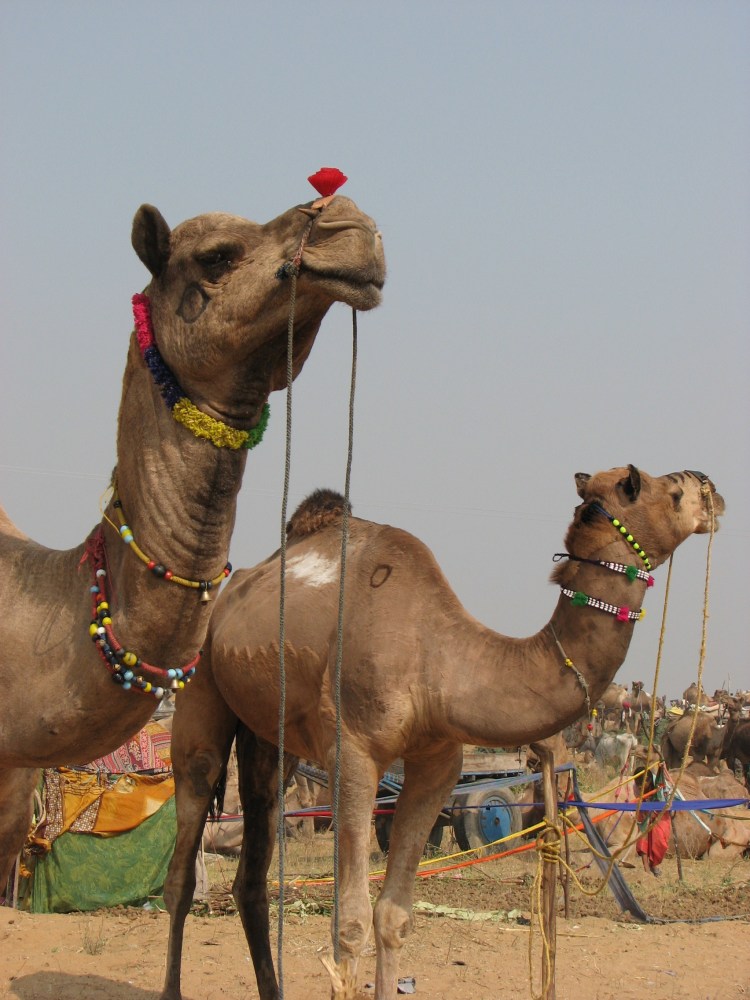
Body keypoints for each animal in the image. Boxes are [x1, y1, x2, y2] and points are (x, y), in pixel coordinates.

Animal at [159, 464, 723, 1000]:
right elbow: (351, 921)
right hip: (200, 681)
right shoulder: (353, 755)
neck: (440, 661)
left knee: (252, 866)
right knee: (185, 852)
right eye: (664, 488)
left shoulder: (437, 765)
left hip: (268, 737)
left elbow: (393, 916)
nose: (711, 489)